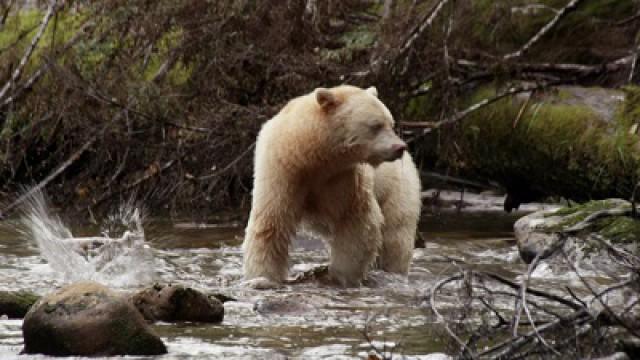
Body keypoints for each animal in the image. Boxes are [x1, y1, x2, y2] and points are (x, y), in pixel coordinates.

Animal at [242, 84, 422, 286]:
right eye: (376, 125)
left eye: (390, 123)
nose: (400, 147)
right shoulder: (282, 171)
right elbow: (271, 223)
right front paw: (262, 277)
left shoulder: (344, 179)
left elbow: (356, 221)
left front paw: (342, 275)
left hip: (397, 189)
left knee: (396, 236)